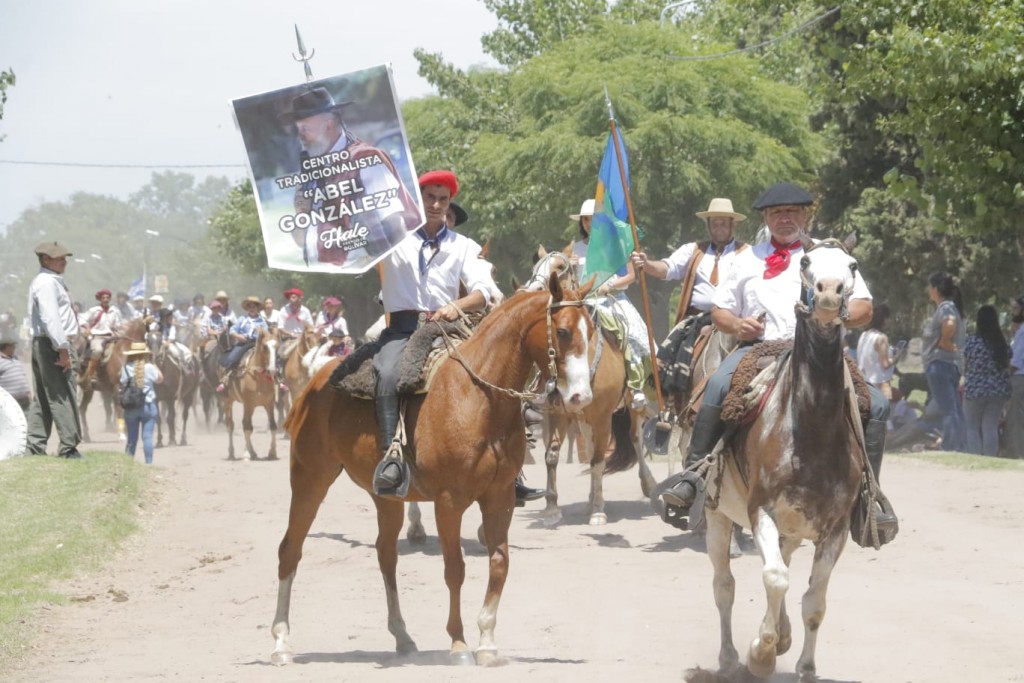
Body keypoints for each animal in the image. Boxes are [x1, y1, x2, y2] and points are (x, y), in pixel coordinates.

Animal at [223, 325, 278, 458]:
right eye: (265, 346)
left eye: (277, 346)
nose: (273, 370)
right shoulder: (248, 404)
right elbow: (247, 428)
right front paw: (247, 453)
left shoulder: (269, 403)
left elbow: (273, 426)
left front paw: (272, 452)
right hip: (228, 401)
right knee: (231, 425)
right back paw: (232, 452)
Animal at [268, 274, 598, 667]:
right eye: (562, 331)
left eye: (592, 330)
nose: (581, 397)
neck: (478, 399)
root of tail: (313, 385)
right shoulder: (448, 502)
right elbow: (454, 569)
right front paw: (459, 644)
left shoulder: (499, 497)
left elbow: (499, 563)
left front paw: (487, 641)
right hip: (310, 478)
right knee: (290, 549)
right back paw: (281, 643)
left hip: (385, 498)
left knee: (386, 555)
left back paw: (402, 637)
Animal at [696, 239, 864, 679]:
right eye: (805, 262)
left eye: (852, 265)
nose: (828, 293)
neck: (810, 431)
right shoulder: (762, 512)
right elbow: (774, 579)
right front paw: (762, 653)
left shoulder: (835, 530)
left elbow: (814, 602)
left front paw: (804, 664)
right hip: (718, 517)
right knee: (724, 586)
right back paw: (730, 658)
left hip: (791, 530)